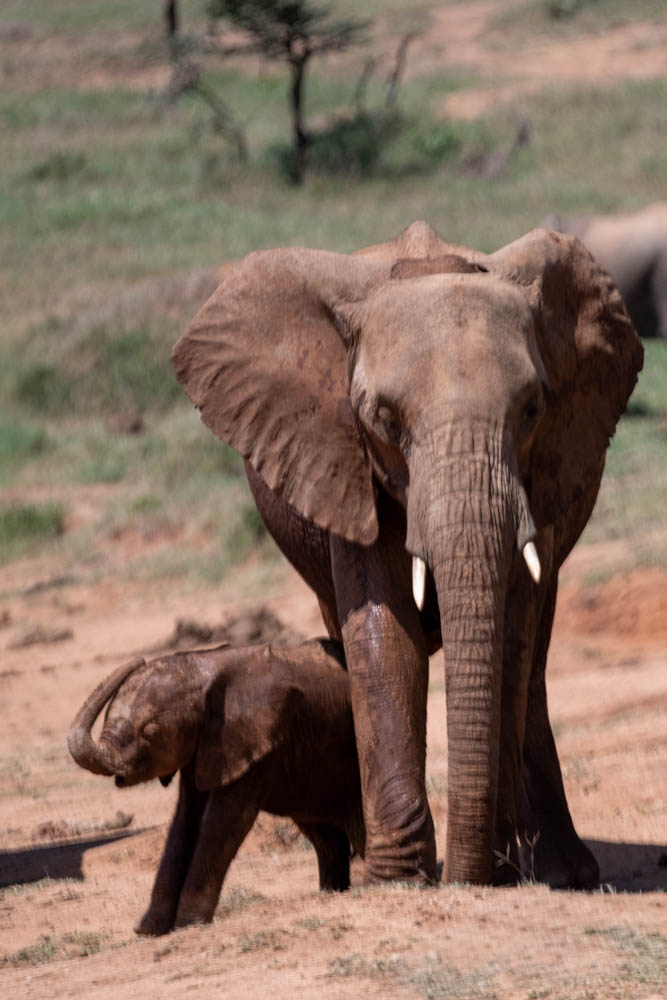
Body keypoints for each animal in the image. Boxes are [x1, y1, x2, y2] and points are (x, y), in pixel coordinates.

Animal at [68, 640, 364, 935]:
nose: (139, 659)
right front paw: (149, 929)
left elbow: (221, 823)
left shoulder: (254, 743)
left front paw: (187, 923)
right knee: (324, 835)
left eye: (150, 732)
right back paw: (331, 891)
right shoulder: (204, 748)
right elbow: (184, 821)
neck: (204, 666)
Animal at [171, 222, 643, 889]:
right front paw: (395, 877)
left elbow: (512, 627)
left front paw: (498, 865)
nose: (468, 875)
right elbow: (384, 633)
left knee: (535, 661)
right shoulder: (341, 457)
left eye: (532, 408)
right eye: (383, 417)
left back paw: (561, 869)